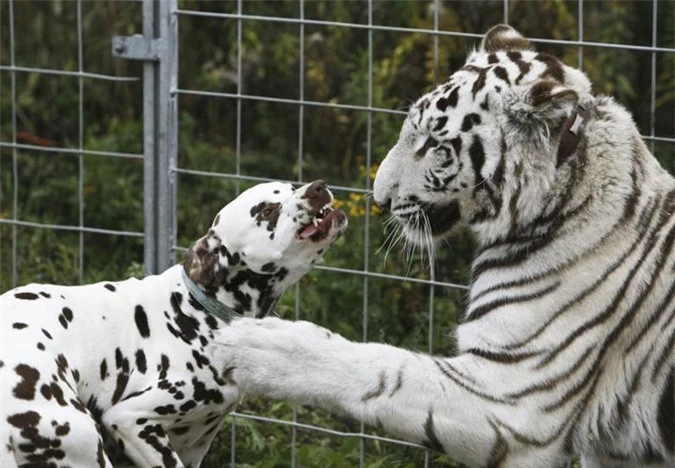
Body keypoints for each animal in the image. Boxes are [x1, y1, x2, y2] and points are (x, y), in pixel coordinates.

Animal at [0, 180, 346, 468]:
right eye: (266, 210)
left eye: (292, 187)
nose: (317, 187)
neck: (196, 313)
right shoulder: (131, 420)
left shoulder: (195, 444)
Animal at [217, 26, 675, 468]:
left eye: (435, 147)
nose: (378, 198)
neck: (559, 194)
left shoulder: (513, 397)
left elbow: (384, 367)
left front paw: (256, 344)